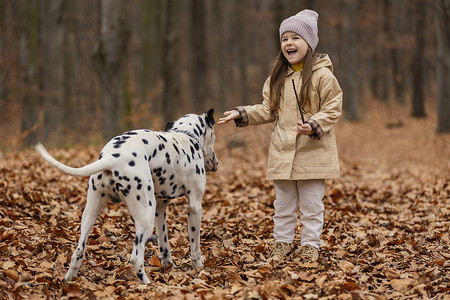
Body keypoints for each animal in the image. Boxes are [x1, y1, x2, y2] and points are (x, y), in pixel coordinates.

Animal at [35, 108, 218, 284]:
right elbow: (195, 246)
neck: (185, 136)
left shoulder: (160, 210)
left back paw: (68, 280)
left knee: (78, 252)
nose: (216, 162)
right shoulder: (194, 207)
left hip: (90, 214)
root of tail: (113, 157)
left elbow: (164, 245)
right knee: (136, 258)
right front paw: (198, 268)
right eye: (214, 137)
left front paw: (169, 267)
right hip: (145, 218)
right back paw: (148, 284)